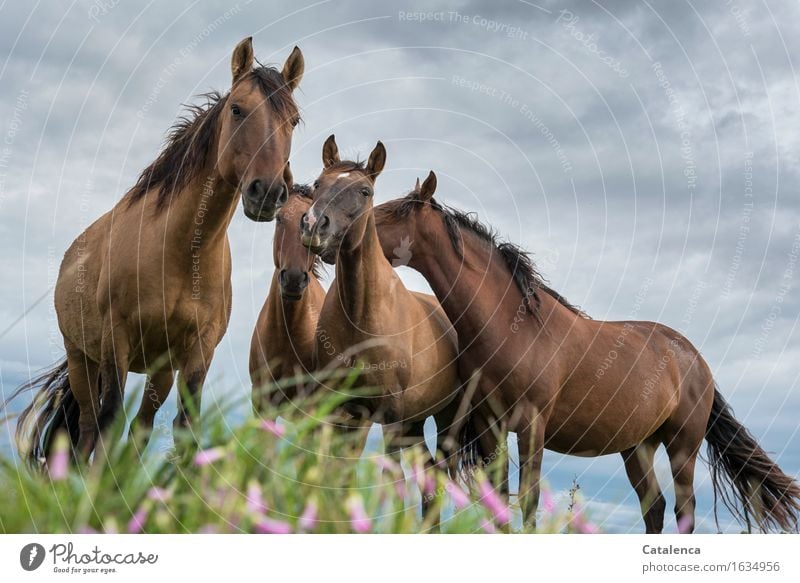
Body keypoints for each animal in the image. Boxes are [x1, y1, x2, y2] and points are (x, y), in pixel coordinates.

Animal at [13, 37, 306, 466]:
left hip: (159, 368)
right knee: (86, 429)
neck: (182, 251)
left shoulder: (198, 350)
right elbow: (109, 420)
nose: (267, 192)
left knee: (140, 427)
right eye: (237, 109)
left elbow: (184, 427)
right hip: (83, 359)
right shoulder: (116, 341)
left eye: (294, 121)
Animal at [298, 137, 462, 456]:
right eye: (317, 183)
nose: (313, 225)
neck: (359, 314)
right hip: (414, 421)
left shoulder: (390, 413)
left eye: (365, 191)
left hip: (448, 417)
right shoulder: (340, 409)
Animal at [376, 171, 800, 532]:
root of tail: (696, 362)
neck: (513, 327)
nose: (355, 234)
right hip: (637, 447)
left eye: (393, 211)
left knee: (684, 511)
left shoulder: (531, 425)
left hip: (682, 445)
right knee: (655, 508)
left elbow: (528, 500)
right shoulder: (489, 425)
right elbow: (498, 500)